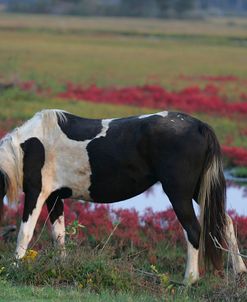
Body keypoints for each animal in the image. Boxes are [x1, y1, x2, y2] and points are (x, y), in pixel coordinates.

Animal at [0, 109, 245, 284]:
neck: (29, 146)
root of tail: (199, 126)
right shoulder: (54, 197)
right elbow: (59, 235)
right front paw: (61, 266)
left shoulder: (36, 192)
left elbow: (24, 232)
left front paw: (13, 268)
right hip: (198, 190)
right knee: (225, 221)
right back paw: (239, 271)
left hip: (178, 193)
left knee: (193, 229)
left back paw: (189, 280)